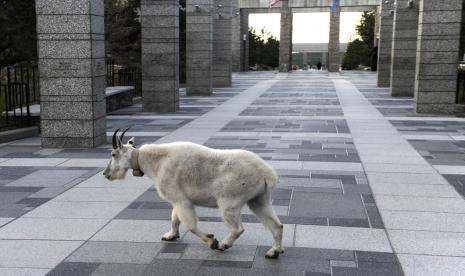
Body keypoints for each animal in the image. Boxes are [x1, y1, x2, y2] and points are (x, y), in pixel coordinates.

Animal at [104, 129, 282, 258]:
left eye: (113, 154)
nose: (106, 174)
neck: (155, 162)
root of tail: (266, 173)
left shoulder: (181, 200)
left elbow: (190, 225)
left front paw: (211, 241)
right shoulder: (177, 200)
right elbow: (174, 218)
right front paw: (170, 236)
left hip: (229, 201)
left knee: (238, 228)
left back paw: (224, 244)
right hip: (259, 199)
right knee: (276, 225)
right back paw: (274, 251)